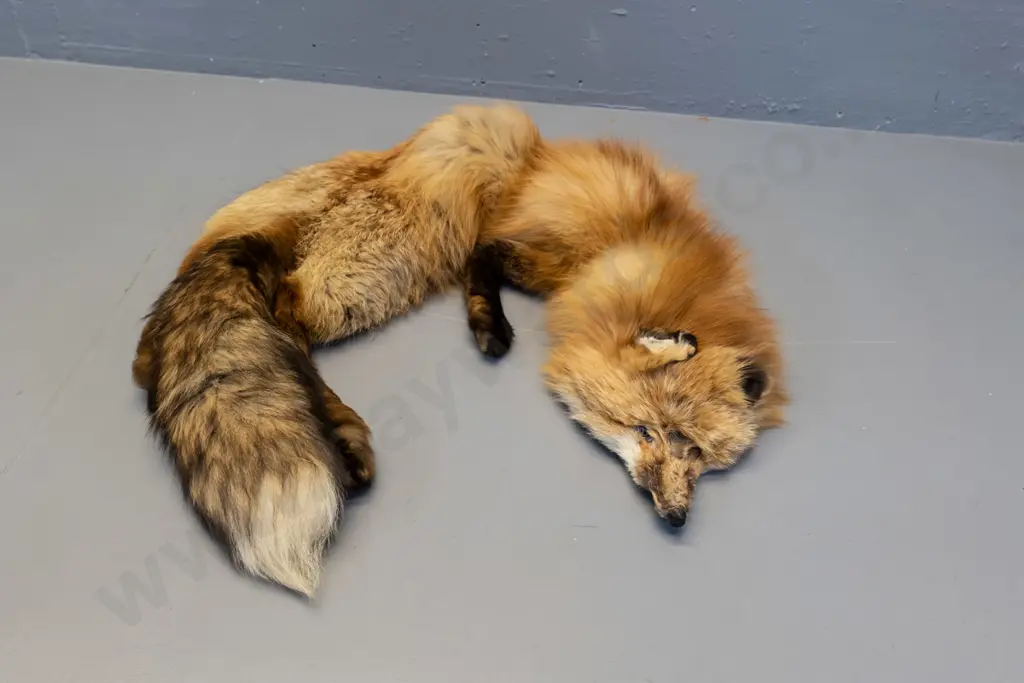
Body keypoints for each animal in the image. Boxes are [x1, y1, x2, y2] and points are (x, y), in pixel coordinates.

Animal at [463, 139, 789, 528]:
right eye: (652, 433)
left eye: (696, 452)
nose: (677, 517)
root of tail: (542, 151)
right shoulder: (599, 338)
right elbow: (635, 351)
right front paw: (674, 346)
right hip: (567, 250)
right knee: (481, 251)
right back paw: (490, 326)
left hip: (554, 269)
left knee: (487, 252)